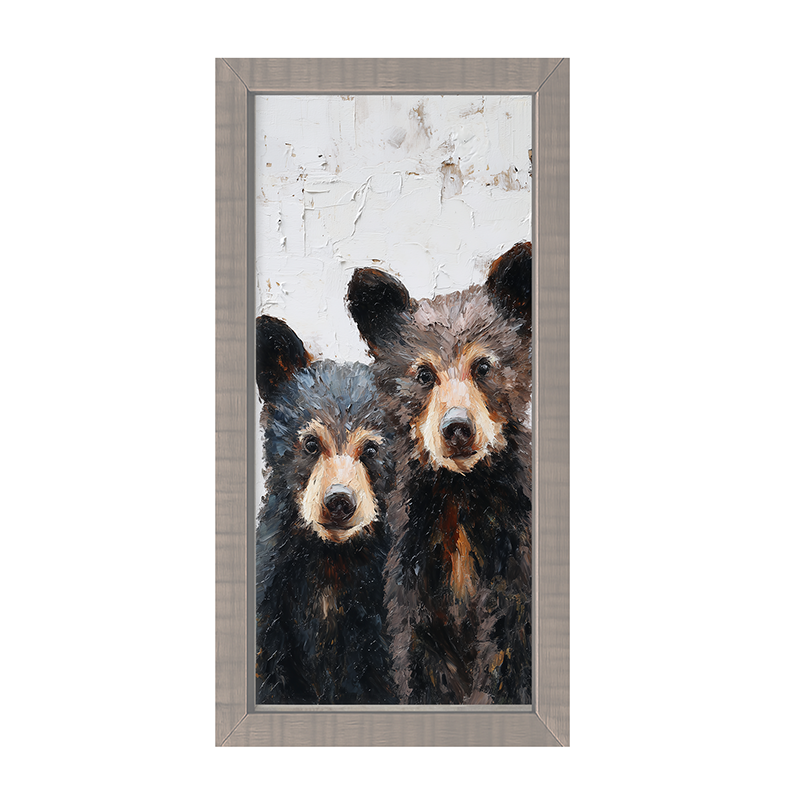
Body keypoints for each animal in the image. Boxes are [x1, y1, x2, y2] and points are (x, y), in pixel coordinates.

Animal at [346, 242, 533, 704]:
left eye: (483, 366)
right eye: (424, 373)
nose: (457, 428)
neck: (460, 490)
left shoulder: (513, 547)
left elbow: (507, 648)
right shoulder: (414, 560)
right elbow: (420, 657)